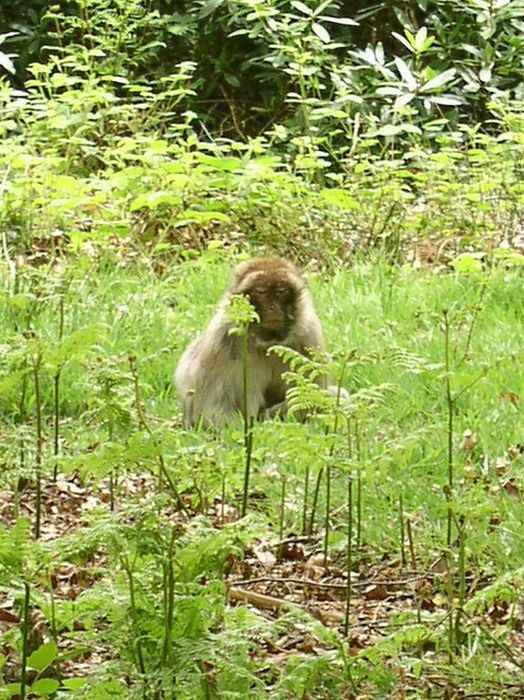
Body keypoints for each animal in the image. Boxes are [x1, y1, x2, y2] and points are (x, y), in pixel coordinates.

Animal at [176, 258, 346, 426]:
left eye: (281, 291)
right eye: (261, 292)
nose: (273, 307)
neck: (267, 343)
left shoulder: (310, 334)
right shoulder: (220, 340)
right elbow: (212, 413)